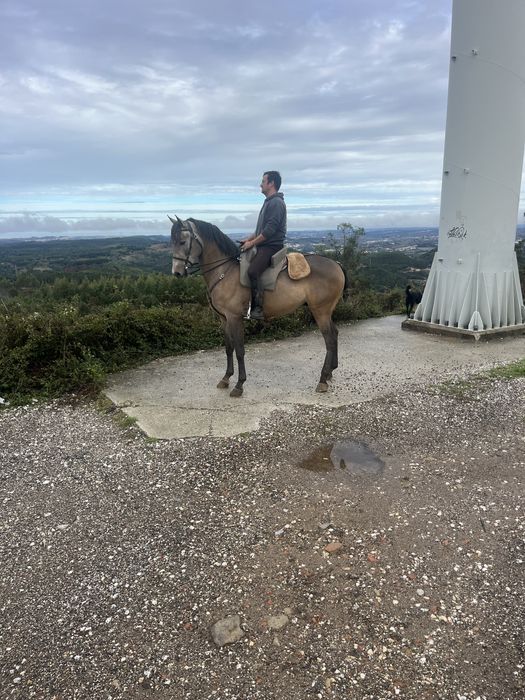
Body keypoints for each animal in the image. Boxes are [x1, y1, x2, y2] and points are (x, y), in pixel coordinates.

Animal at [169, 216, 347, 397]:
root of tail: (336, 263)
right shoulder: (224, 319)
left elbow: (239, 350)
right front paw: (226, 378)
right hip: (326, 311)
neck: (224, 272)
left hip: (320, 311)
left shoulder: (234, 318)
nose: (177, 272)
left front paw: (239, 385)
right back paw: (331, 371)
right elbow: (228, 348)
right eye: (172, 242)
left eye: (182, 241)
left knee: (329, 339)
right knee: (335, 334)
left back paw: (322, 380)